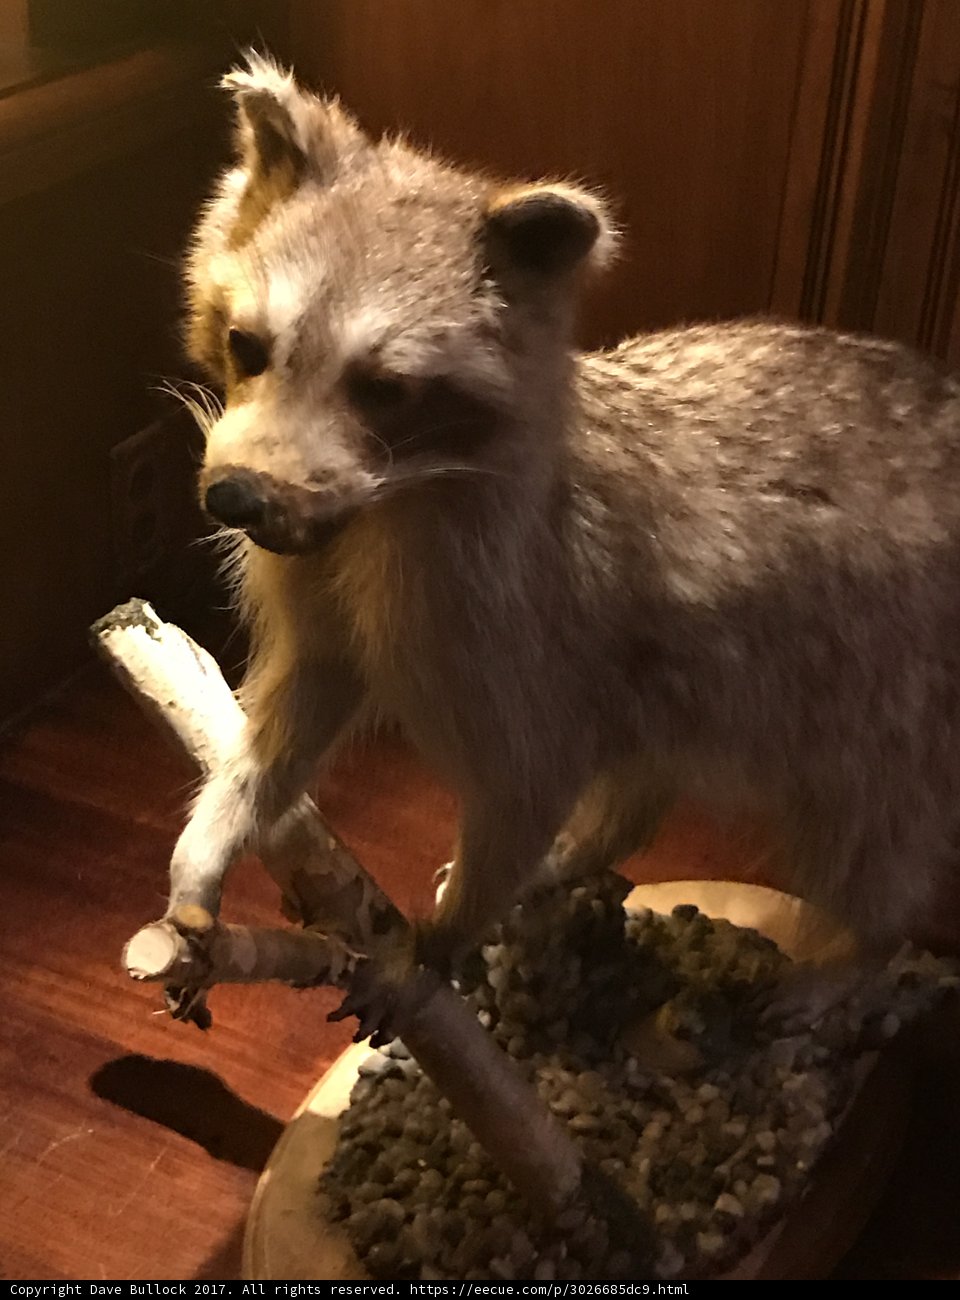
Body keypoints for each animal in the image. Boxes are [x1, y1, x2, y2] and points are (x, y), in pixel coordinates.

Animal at [174, 55, 960, 1019]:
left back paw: (855, 955)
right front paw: (214, 837)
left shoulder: (525, 632)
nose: (234, 499)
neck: (386, 505)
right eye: (247, 345)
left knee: (871, 841)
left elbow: (525, 791)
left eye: (384, 389)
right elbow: (295, 710)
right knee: (649, 772)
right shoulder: (318, 568)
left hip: (887, 698)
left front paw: (447, 933)